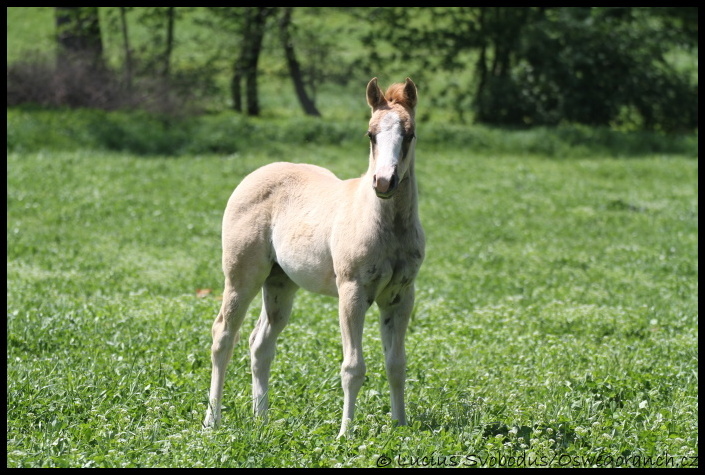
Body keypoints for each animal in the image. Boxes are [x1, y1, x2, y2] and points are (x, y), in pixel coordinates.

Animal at [204, 77, 424, 438]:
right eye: (370, 134)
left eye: (409, 134)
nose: (383, 182)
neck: (385, 225)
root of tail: (254, 175)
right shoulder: (352, 292)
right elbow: (353, 367)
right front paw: (345, 433)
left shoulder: (401, 296)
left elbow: (397, 364)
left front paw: (401, 425)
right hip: (242, 277)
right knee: (223, 336)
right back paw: (212, 420)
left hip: (280, 284)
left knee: (260, 343)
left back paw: (261, 418)